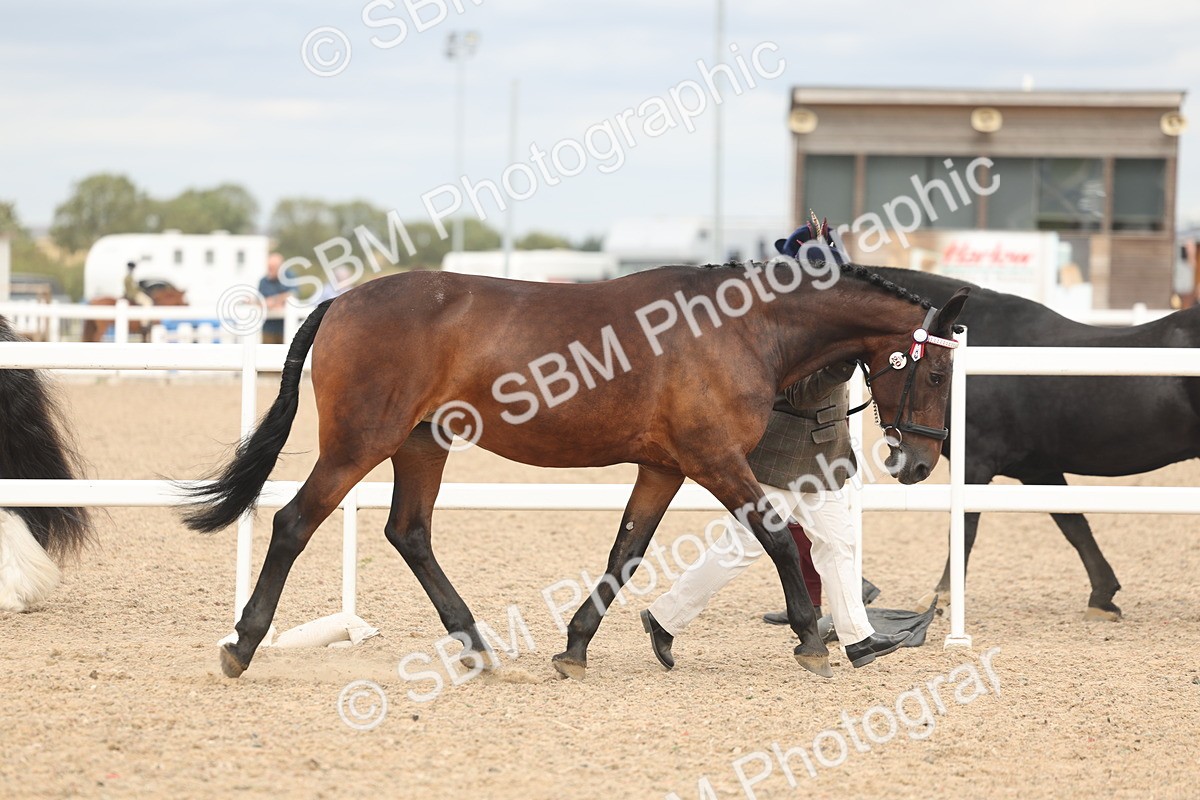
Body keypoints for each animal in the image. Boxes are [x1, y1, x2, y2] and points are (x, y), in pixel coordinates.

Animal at [180, 259, 968, 680]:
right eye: (933, 373)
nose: (919, 461)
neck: (740, 328)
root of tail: (342, 298)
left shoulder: (662, 467)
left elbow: (626, 552)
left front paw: (576, 645)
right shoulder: (713, 459)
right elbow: (775, 537)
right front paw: (810, 639)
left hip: (422, 443)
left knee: (409, 534)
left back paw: (476, 645)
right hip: (360, 443)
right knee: (294, 522)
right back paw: (243, 645)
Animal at [873, 266, 1200, 620]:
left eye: (935, 377)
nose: (908, 465)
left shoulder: (975, 462)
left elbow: (963, 529)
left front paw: (942, 597)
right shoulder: (1038, 469)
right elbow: (1073, 525)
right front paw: (1102, 596)